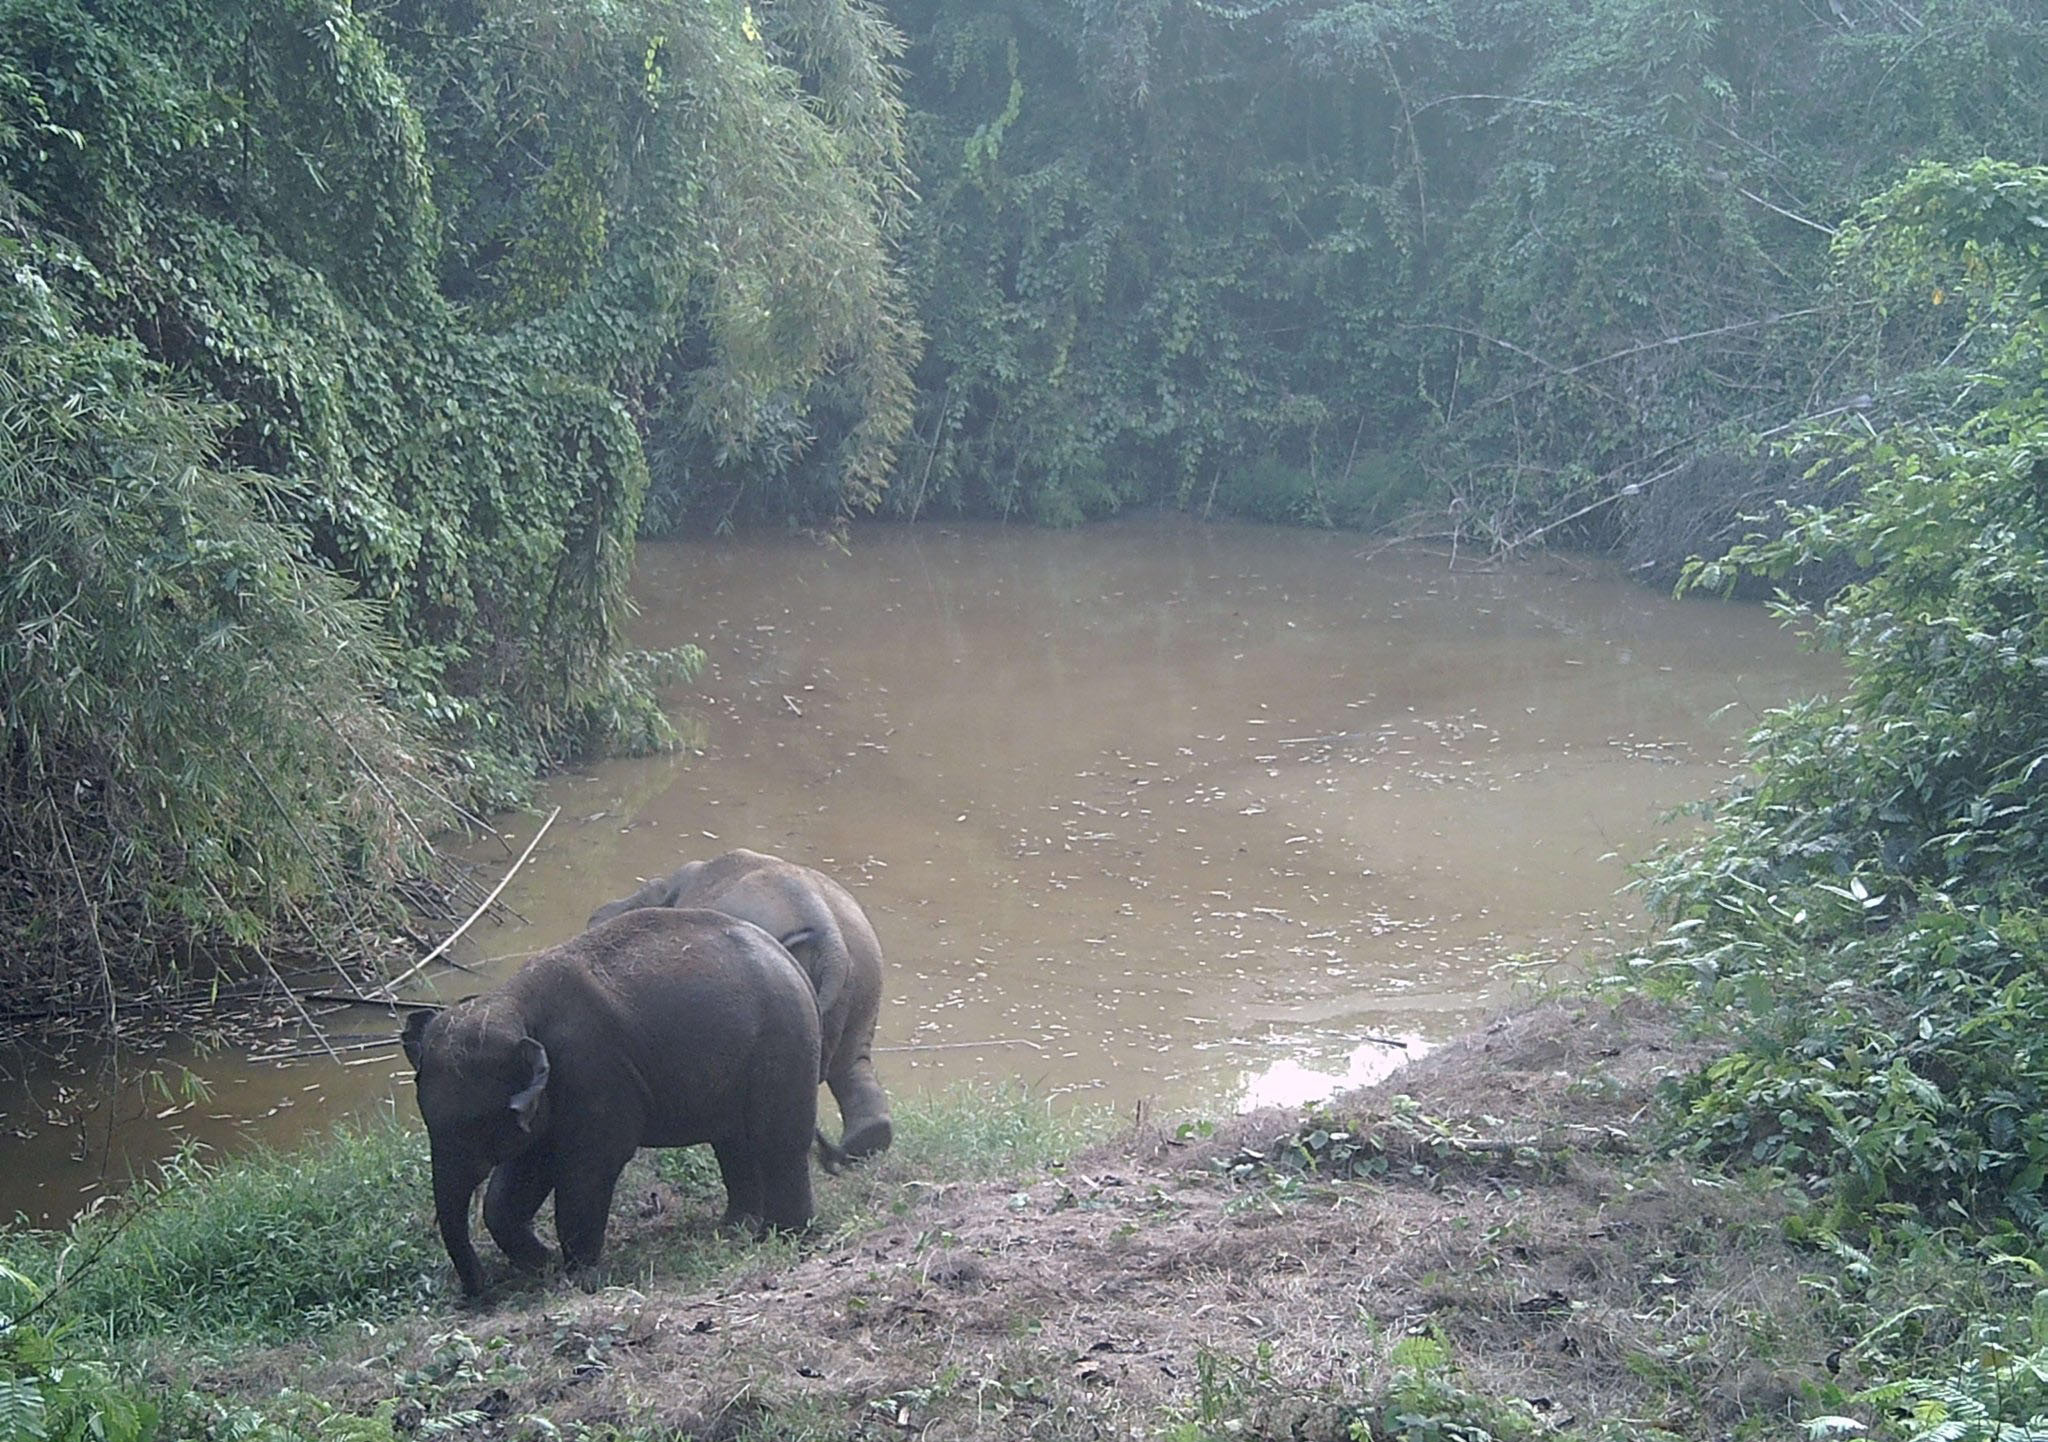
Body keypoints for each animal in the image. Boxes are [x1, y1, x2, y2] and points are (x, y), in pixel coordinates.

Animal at [399, 913, 815, 1294]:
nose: (477, 1294)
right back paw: (737, 1229)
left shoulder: (593, 1069)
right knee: (733, 1143)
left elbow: (589, 1167)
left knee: (777, 1142)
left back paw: (786, 1235)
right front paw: (545, 1265)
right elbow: (524, 1173)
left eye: (475, 1125)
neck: (511, 1002)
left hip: (783, 1043)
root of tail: (788, 957)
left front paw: (579, 1277)